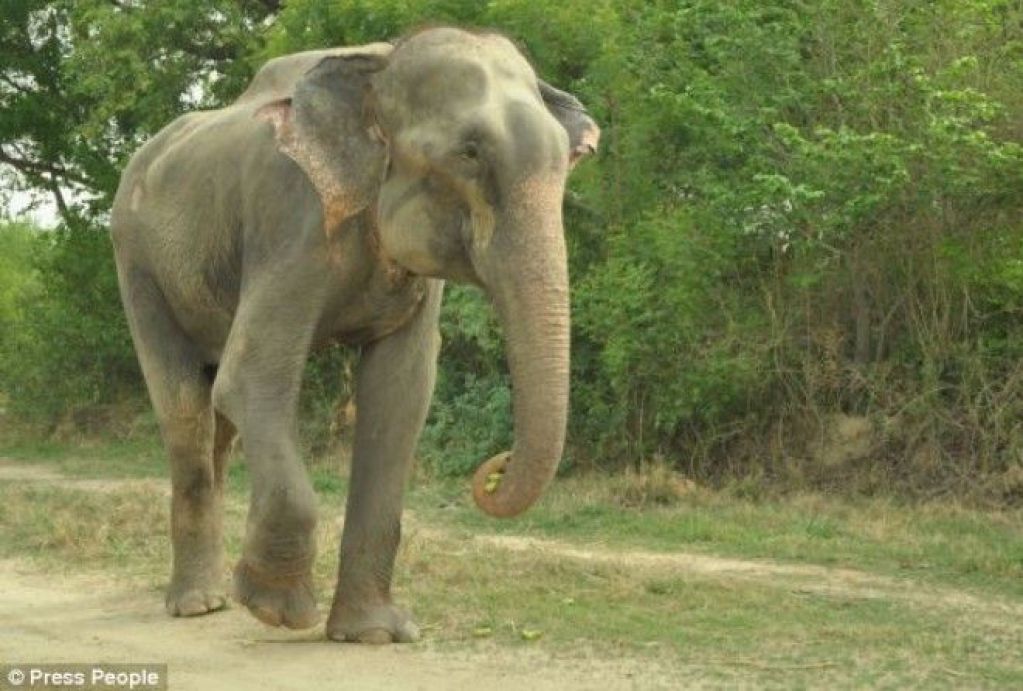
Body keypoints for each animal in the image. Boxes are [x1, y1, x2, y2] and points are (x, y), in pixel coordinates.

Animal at [110, 27, 599, 644]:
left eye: (566, 160)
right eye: (469, 153)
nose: (494, 469)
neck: (379, 64)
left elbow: (400, 394)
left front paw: (375, 634)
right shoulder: (291, 215)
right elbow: (250, 379)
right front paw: (276, 610)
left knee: (215, 421)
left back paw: (212, 599)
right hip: (137, 263)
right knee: (185, 407)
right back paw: (198, 604)